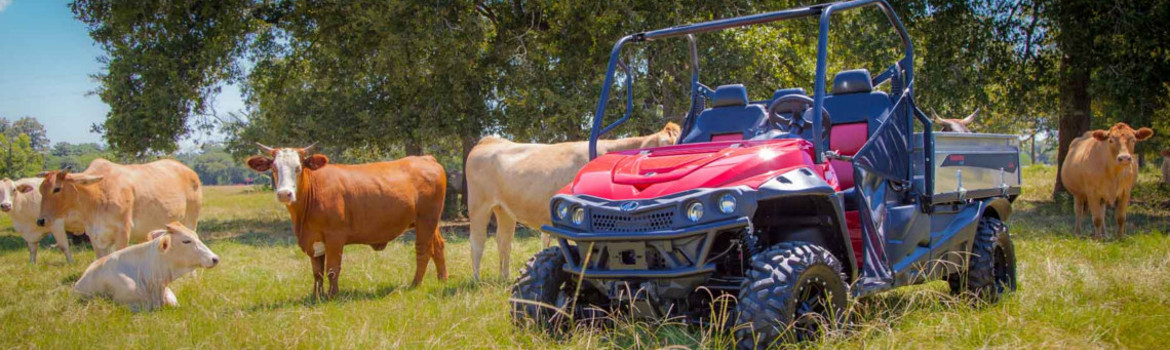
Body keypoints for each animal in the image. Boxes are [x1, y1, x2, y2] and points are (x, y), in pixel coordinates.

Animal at [33, 160, 203, 257]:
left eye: (57, 189)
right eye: (40, 189)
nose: (41, 221)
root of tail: (189, 171)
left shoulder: (123, 232)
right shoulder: (96, 237)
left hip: (191, 220)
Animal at [244, 143, 444, 297]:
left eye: (298, 168)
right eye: (274, 168)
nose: (284, 194)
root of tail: (425, 158)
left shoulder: (335, 237)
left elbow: (332, 269)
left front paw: (333, 295)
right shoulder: (313, 239)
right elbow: (317, 272)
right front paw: (317, 296)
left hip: (426, 219)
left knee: (423, 250)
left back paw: (415, 284)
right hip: (430, 222)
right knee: (438, 246)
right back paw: (442, 279)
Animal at [465, 122, 683, 280]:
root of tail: (489, 141)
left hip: (504, 210)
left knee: (503, 241)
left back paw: (504, 278)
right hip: (478, 205)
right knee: (477, 242)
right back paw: (476, 280)